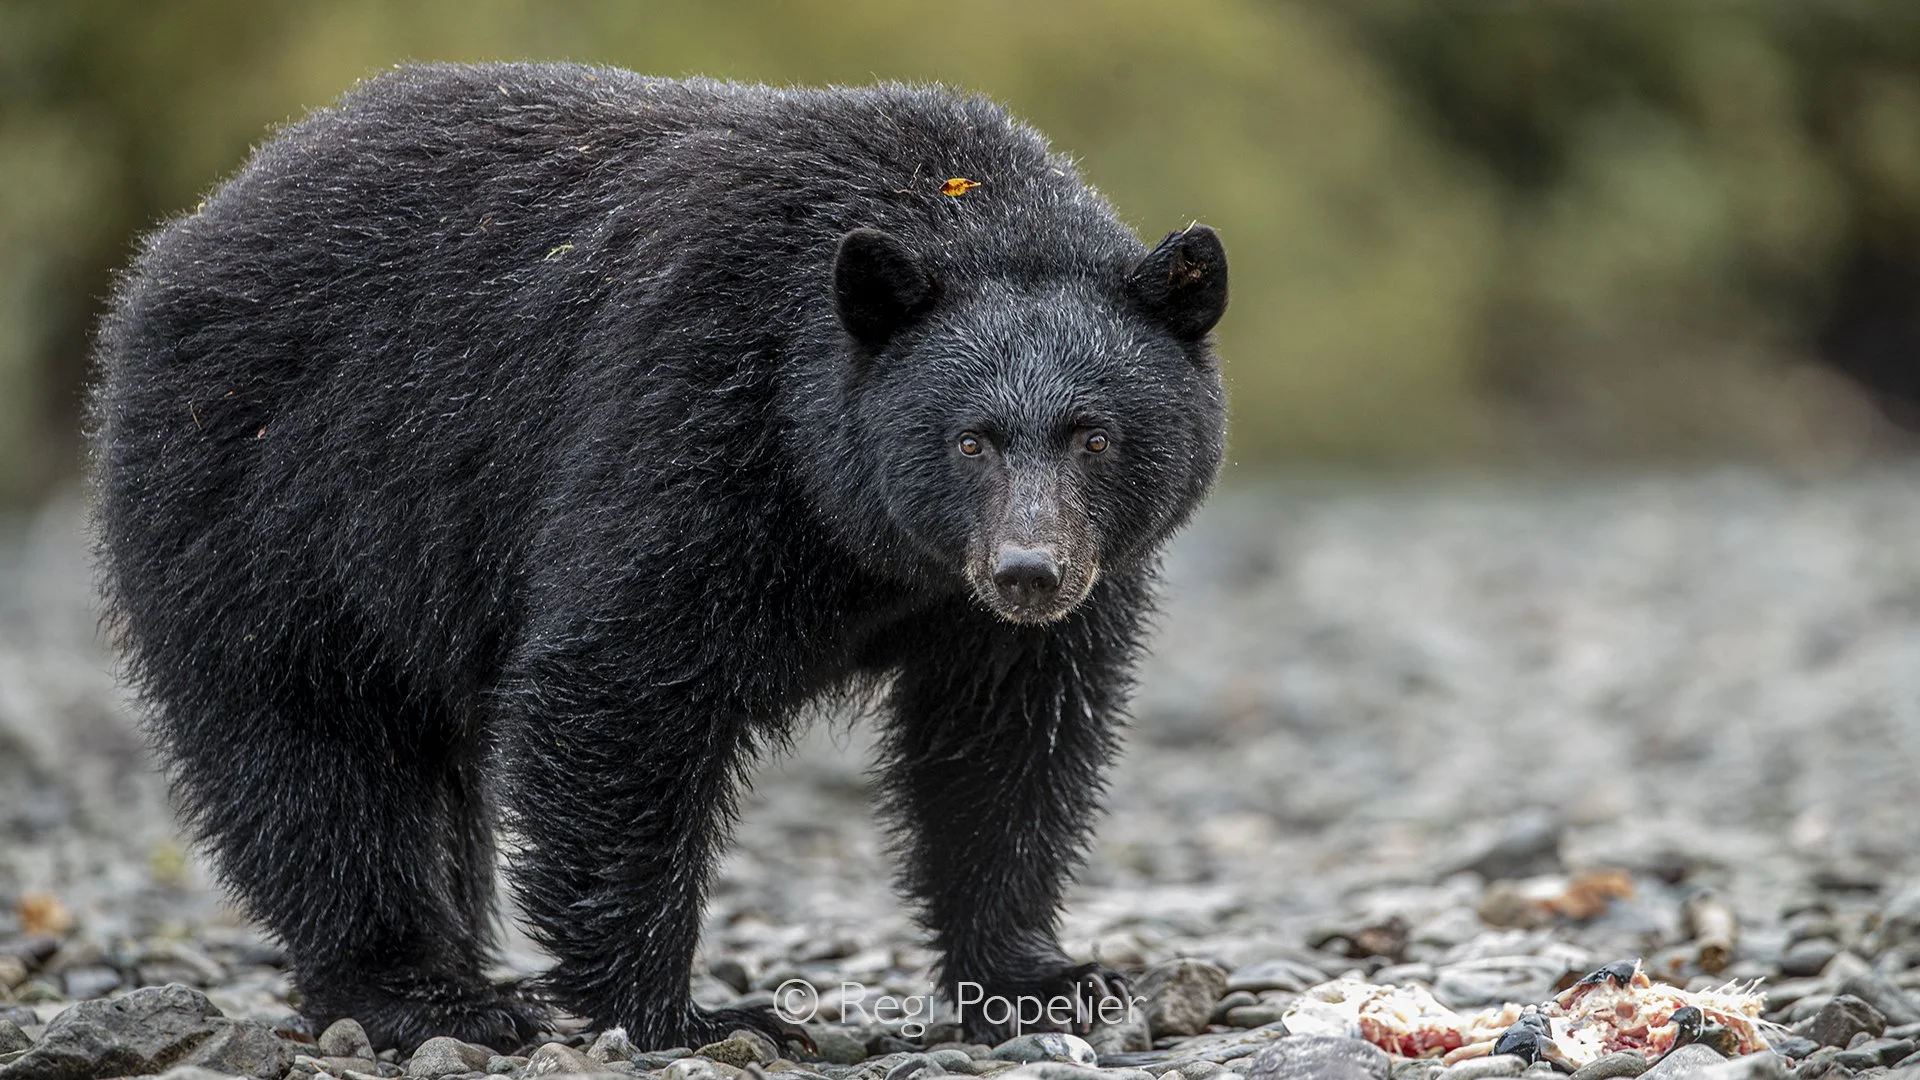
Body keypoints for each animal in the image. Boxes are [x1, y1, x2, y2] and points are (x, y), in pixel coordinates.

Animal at [88, 63, 1228, 1053]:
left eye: (1095, 436)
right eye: (971, 440)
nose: (1029, 572)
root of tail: (185, 236)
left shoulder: (1010, 610)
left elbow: (1007, 744)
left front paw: (1043, 978)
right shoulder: (691, 417)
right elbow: (620, 685)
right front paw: (688, 1014)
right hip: (275, 503)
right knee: (315, 752)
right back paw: (428, 996)